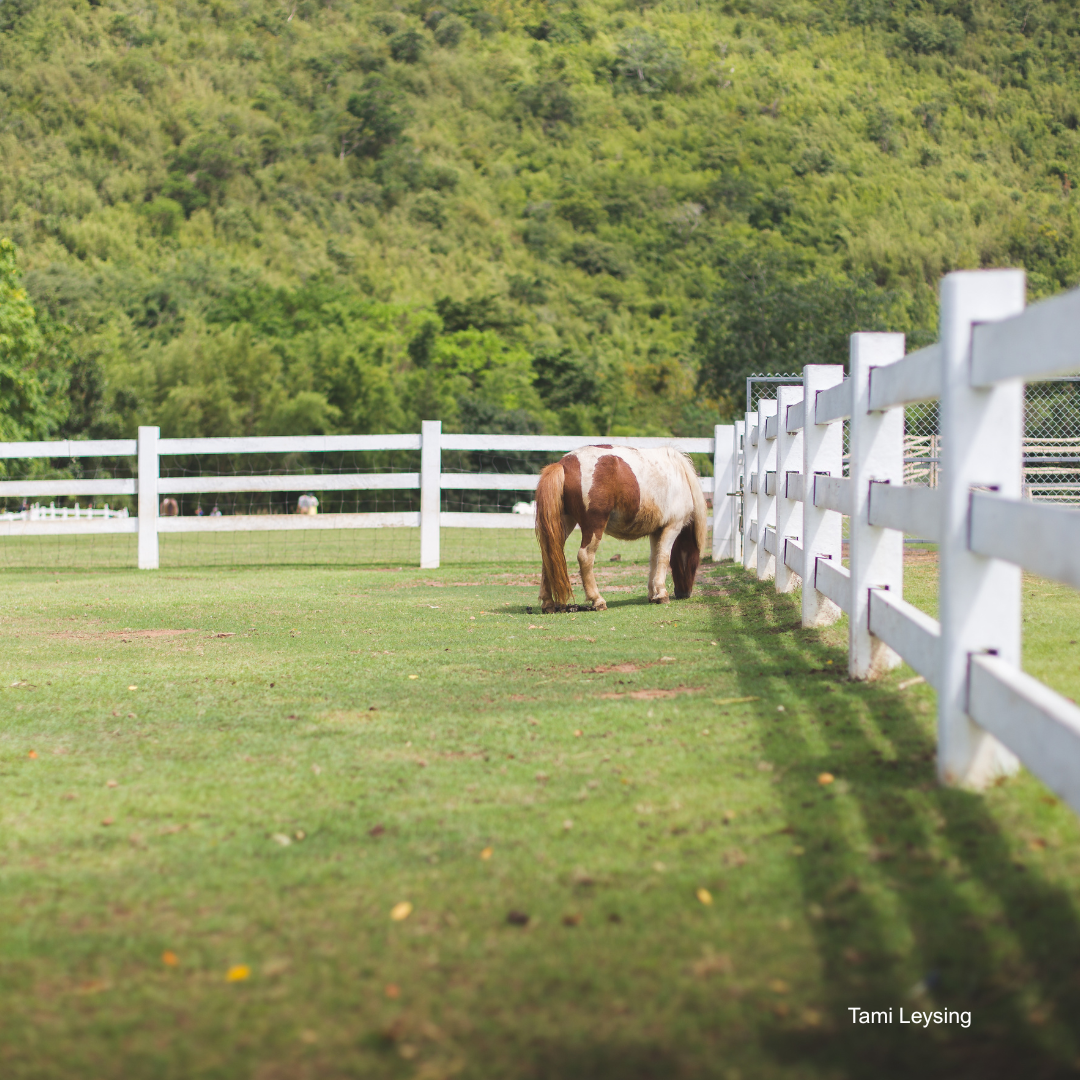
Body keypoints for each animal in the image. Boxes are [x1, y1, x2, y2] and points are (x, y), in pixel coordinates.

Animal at [534, 445, 707, 613]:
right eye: (695, 563)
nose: (684, 594)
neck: (680, 476)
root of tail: (565, 464)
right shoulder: (672, 527)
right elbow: (664, 557)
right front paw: (662, 594)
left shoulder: (656, 531)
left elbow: (654, 558)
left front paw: (653, 594)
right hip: (594, 527)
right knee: (585, 557)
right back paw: (597, 600)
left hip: (564, 523)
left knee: (550, 555)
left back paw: (548, 603)